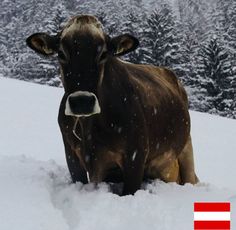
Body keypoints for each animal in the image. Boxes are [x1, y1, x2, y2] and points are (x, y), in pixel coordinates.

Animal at [26, 14, 199, 195]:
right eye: (61, 53)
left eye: (103, 54)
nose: (82, 101)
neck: (89, 126)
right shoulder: (72, 154)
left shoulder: (135, 156)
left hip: (186, 150)